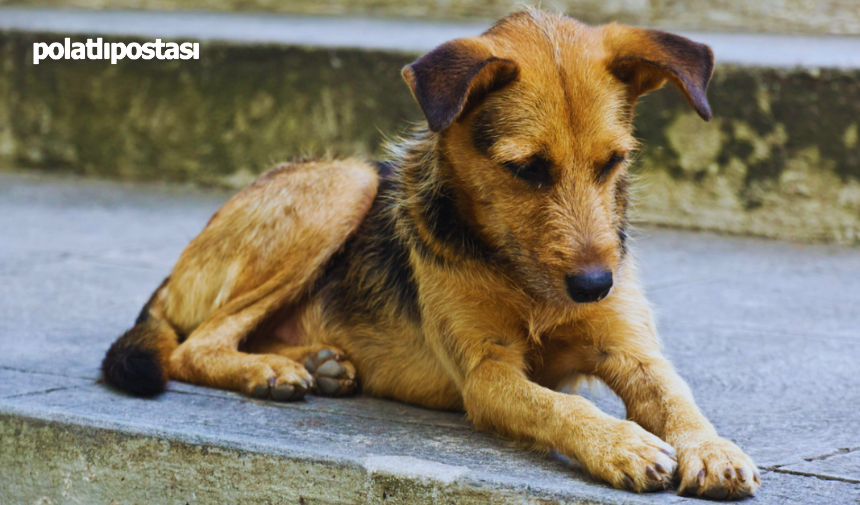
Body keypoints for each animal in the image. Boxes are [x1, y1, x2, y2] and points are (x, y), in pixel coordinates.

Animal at [102, 8, 760, 500]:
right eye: (528, 169)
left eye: (614, 162)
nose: (597, 284)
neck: (520, 273)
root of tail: (172, 277)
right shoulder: (487, 375)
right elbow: (559, 406)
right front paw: (621, 442)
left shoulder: (631, 348)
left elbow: (677, 397)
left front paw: (714, 449)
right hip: (347, 181)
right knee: (194, 346)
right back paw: (271, 371)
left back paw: (317, 363)